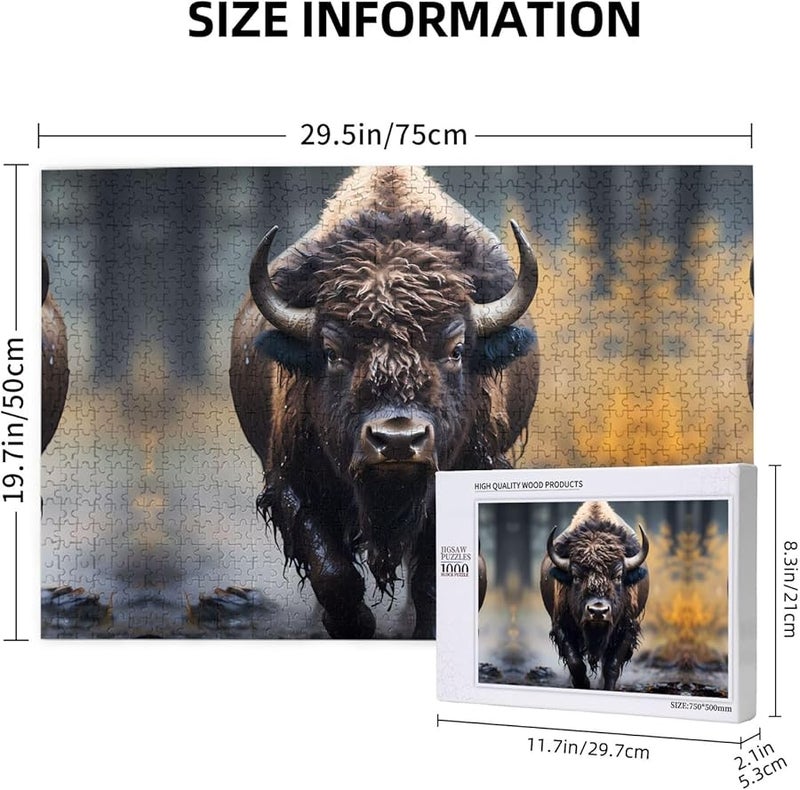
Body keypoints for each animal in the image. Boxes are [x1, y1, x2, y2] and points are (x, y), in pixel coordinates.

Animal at [230, 167, 540, 638]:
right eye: (331, 351)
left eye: (457, 349)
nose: (397, 441)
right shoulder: (293, 484)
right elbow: (333, 573)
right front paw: (350, 623)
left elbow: (433, 581)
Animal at [540, 501, 649, 689]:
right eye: (576, 577)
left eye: (618, 576)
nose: (598, 611)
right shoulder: (561, 626)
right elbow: (575, 663)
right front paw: (582, 683)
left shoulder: (627, 629)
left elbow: (611, 665)